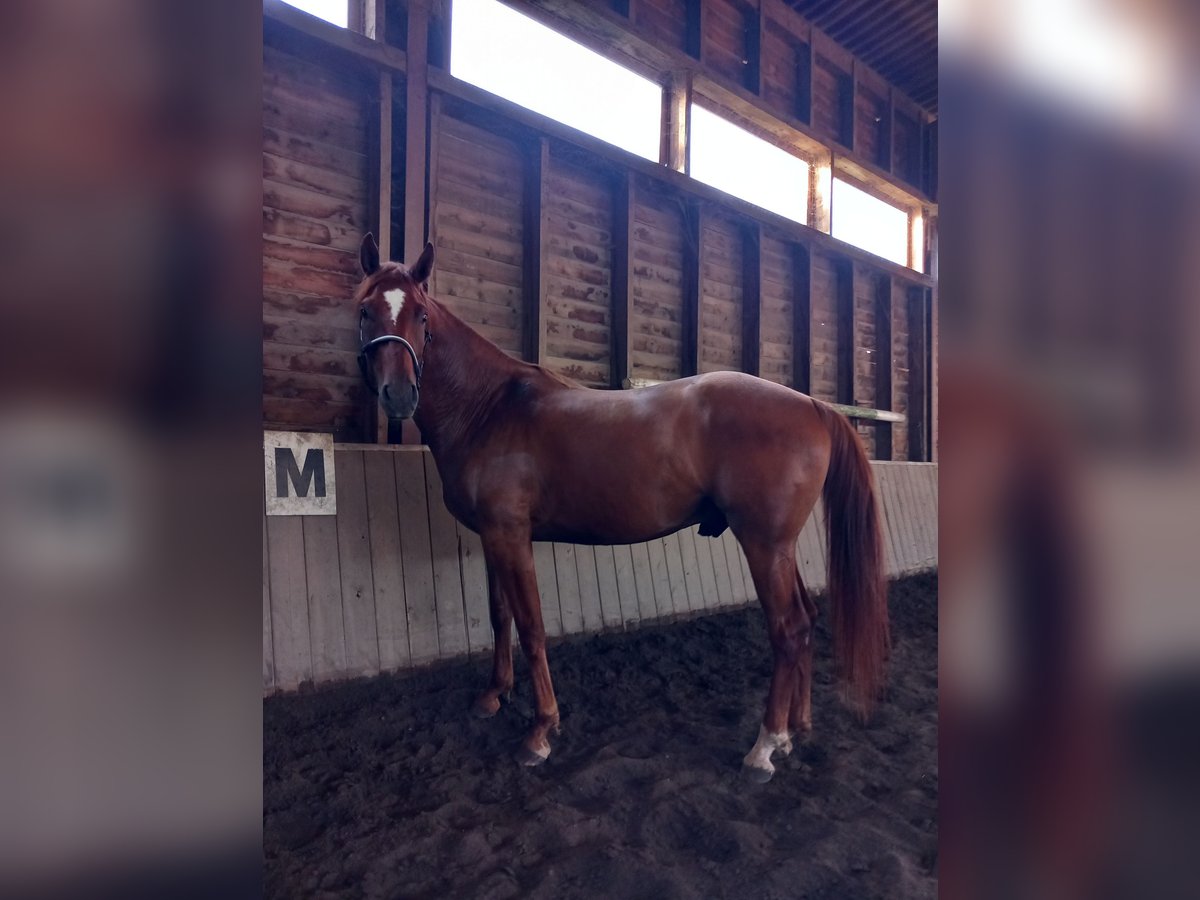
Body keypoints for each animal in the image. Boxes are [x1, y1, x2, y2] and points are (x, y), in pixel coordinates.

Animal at [350, 234, 888, 782]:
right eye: (366, 310)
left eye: (420, 315)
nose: (399, 395)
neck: (489, 408)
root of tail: (812, 406)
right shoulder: (491, 537)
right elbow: (501, 617)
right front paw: (493, 696)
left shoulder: (511, 537)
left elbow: (531, 627)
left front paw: (541, 732)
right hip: (779, 547)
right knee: (807, 619)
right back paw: (795, 731)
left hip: (763, 544)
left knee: (789, 629)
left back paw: (764, 747)